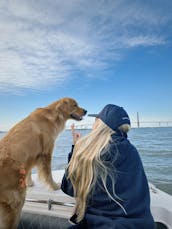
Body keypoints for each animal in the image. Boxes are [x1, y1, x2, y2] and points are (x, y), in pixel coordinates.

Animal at [0, 97, 86, 229]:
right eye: (75, 105)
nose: (86, 111)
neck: (55, 115)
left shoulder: (32, 154)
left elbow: (29, 170)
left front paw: (30, 183)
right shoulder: (46, 151)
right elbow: (48, 173)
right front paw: (55, 186)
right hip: (16, 202)